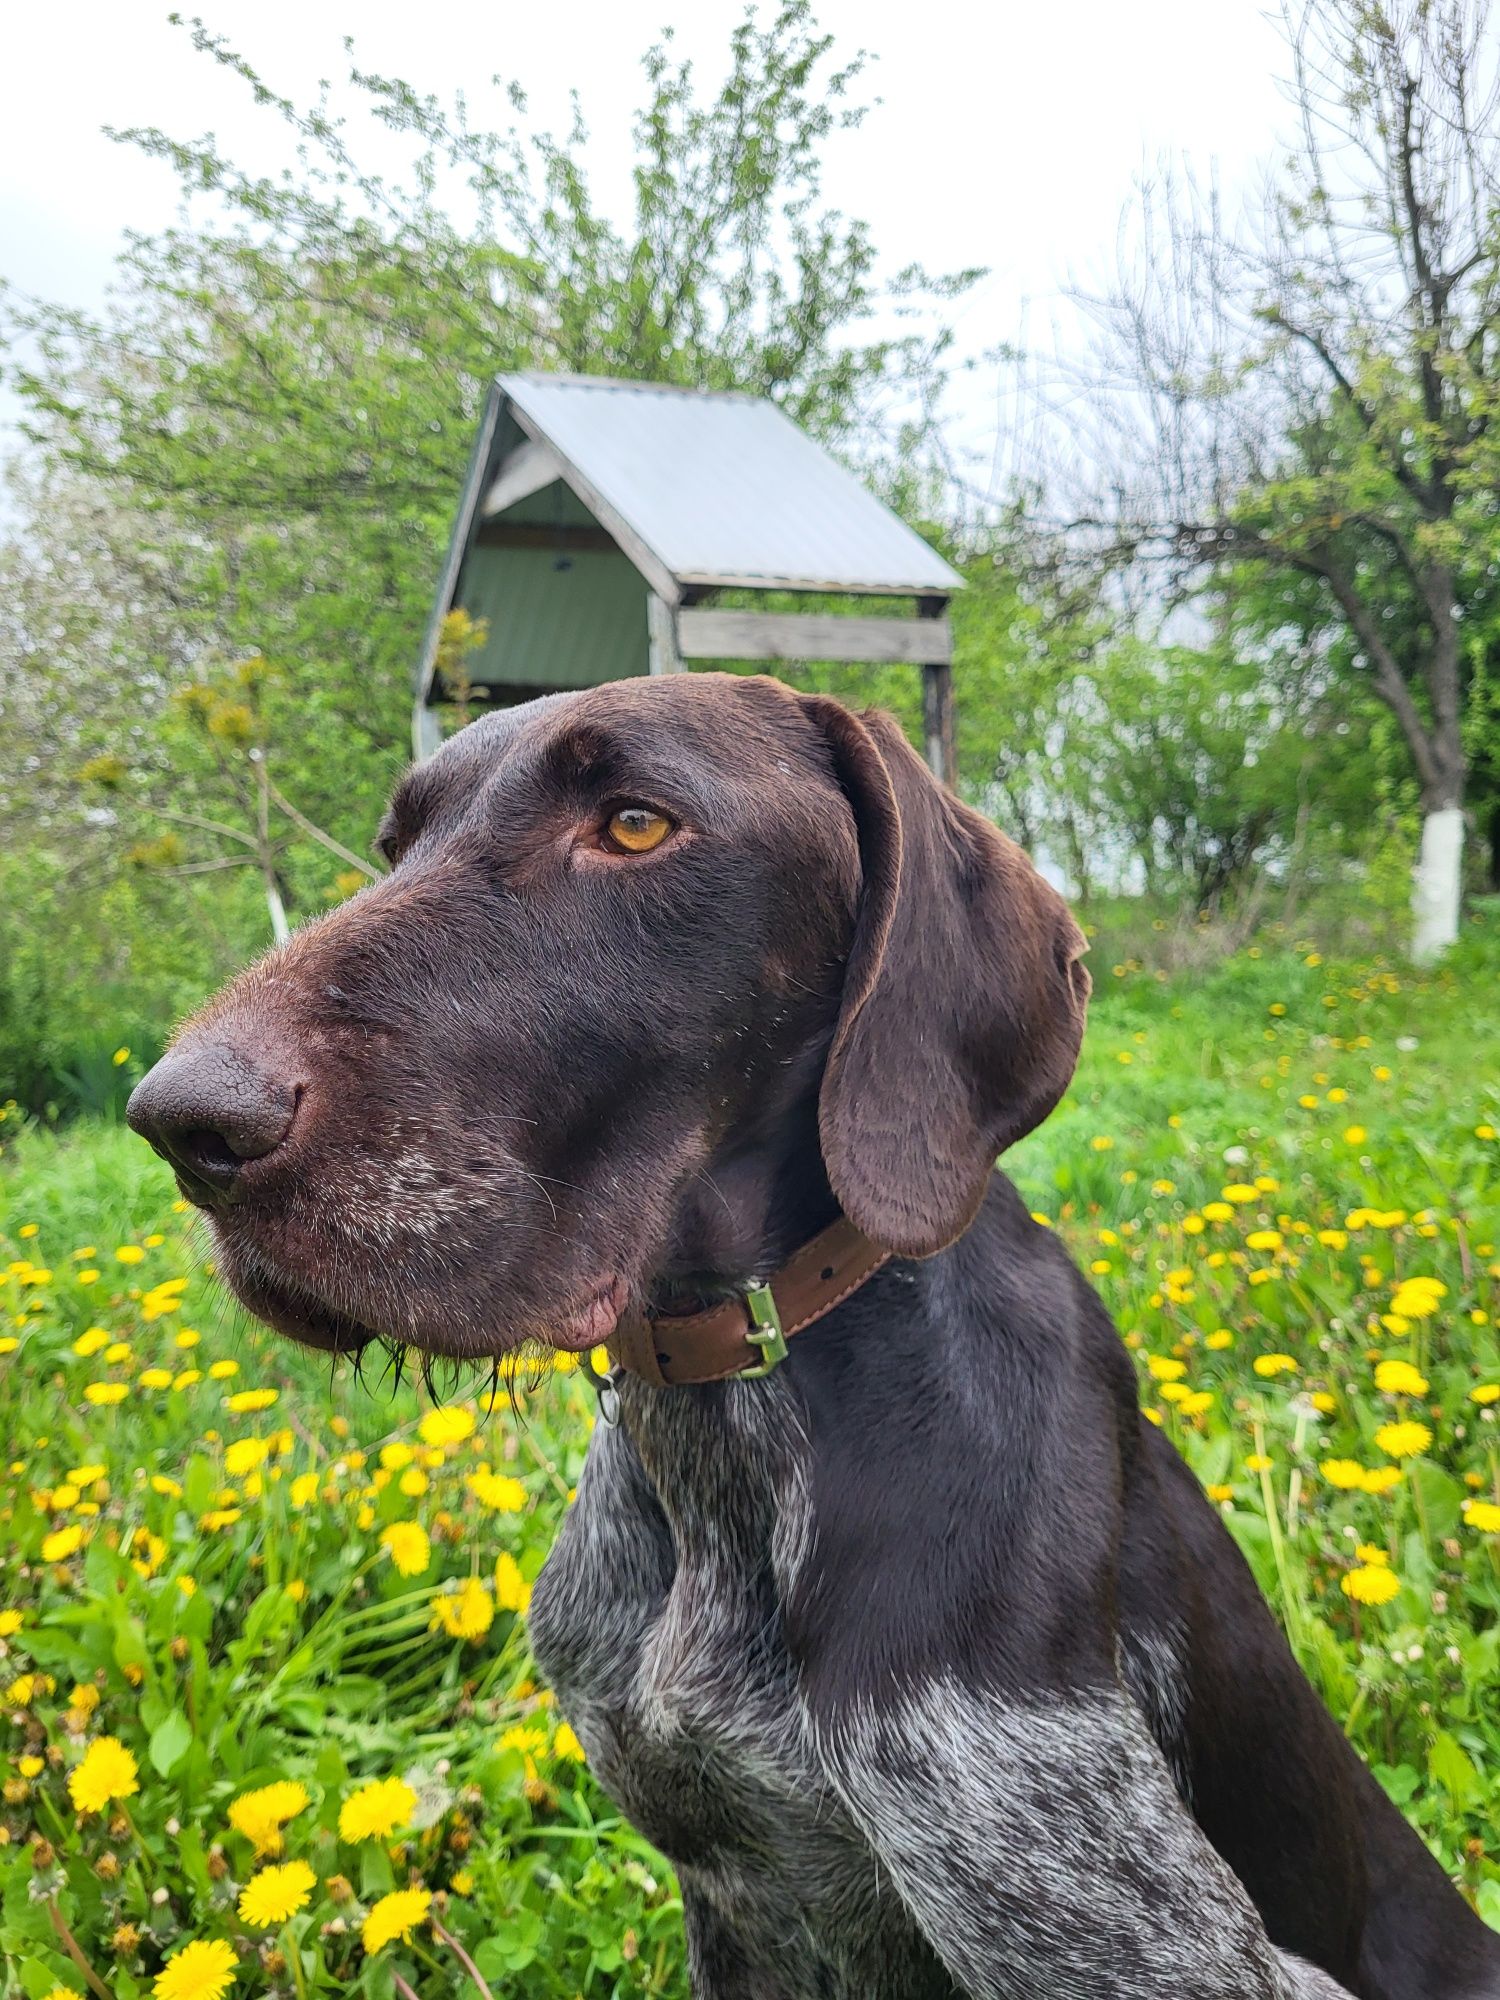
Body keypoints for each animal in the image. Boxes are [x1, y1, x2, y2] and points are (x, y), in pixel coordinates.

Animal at [129, 676, 1500, 2000]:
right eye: (396, 845)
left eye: (636, 823)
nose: (183, 1119)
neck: (730, 1426)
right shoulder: (737, 1897)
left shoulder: (1143, 1924)